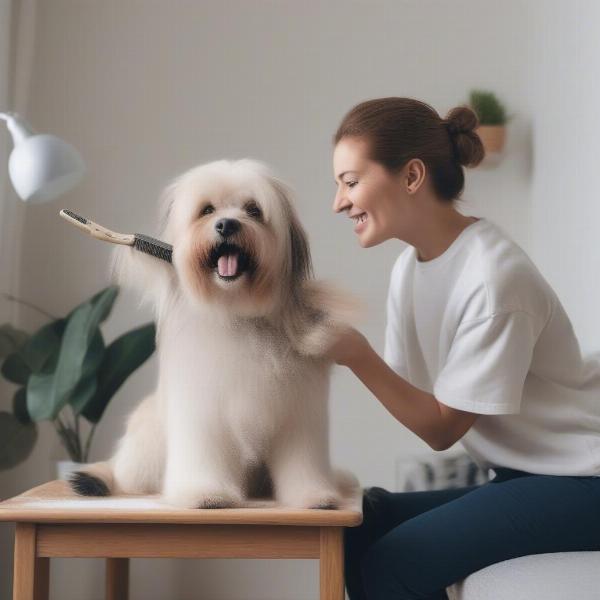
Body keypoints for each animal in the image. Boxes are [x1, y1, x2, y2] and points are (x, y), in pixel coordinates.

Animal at [69, 157, 360, 508]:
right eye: (207, 210)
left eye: (253, 210)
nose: (226, 225)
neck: (237, 314)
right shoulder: (203, 408)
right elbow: (204, 454)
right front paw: (205, 494)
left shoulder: (299, 414)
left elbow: (302, 462)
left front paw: (314, 495)